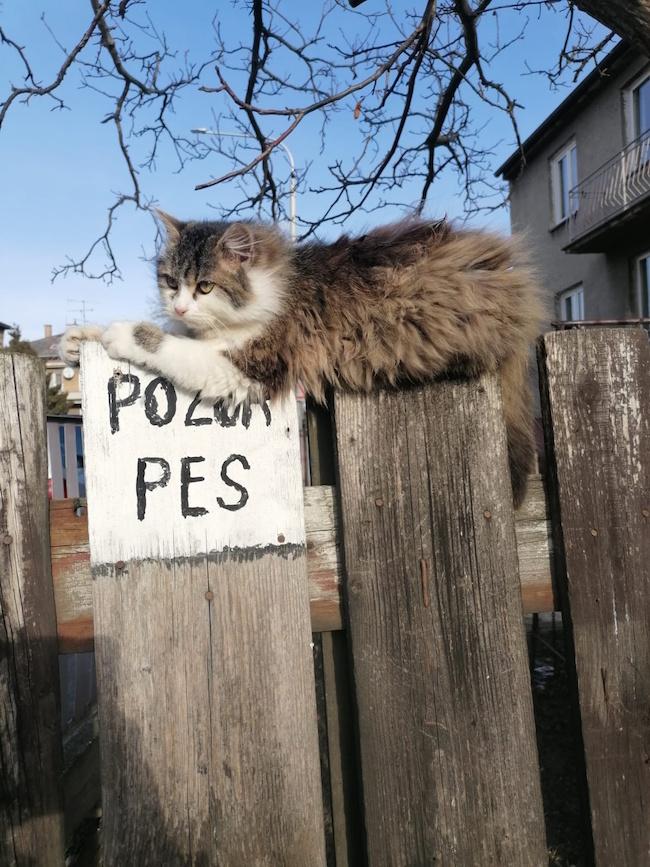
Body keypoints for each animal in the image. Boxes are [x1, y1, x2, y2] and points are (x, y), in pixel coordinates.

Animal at [60, 210, 544, 507]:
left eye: (205, 287)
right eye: (171, 282)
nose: (178, 307)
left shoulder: (248, 366)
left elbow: (163, 341)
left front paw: (122, 333)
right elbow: (173, 334)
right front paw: (78, 339)